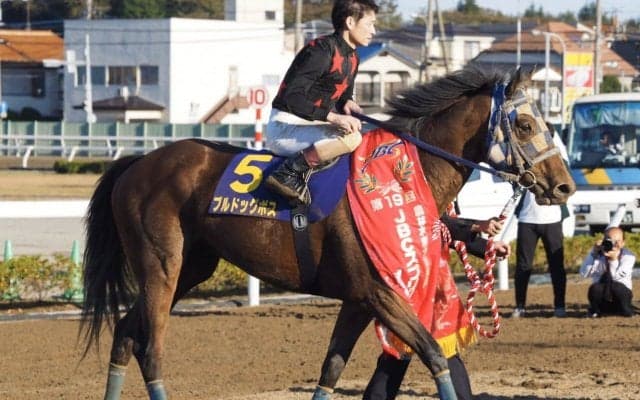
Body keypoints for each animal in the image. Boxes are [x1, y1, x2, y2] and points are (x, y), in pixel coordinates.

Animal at [80, 66, 575, 400]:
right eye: (526, 124)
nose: (564, 186)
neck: (400, 176)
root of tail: (135, 164)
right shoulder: (379, 292)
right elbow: (435, 354)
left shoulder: (358, 298)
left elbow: (331, 370)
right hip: (162, 265)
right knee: (150, 347)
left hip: (192, 267)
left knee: (125, 334)